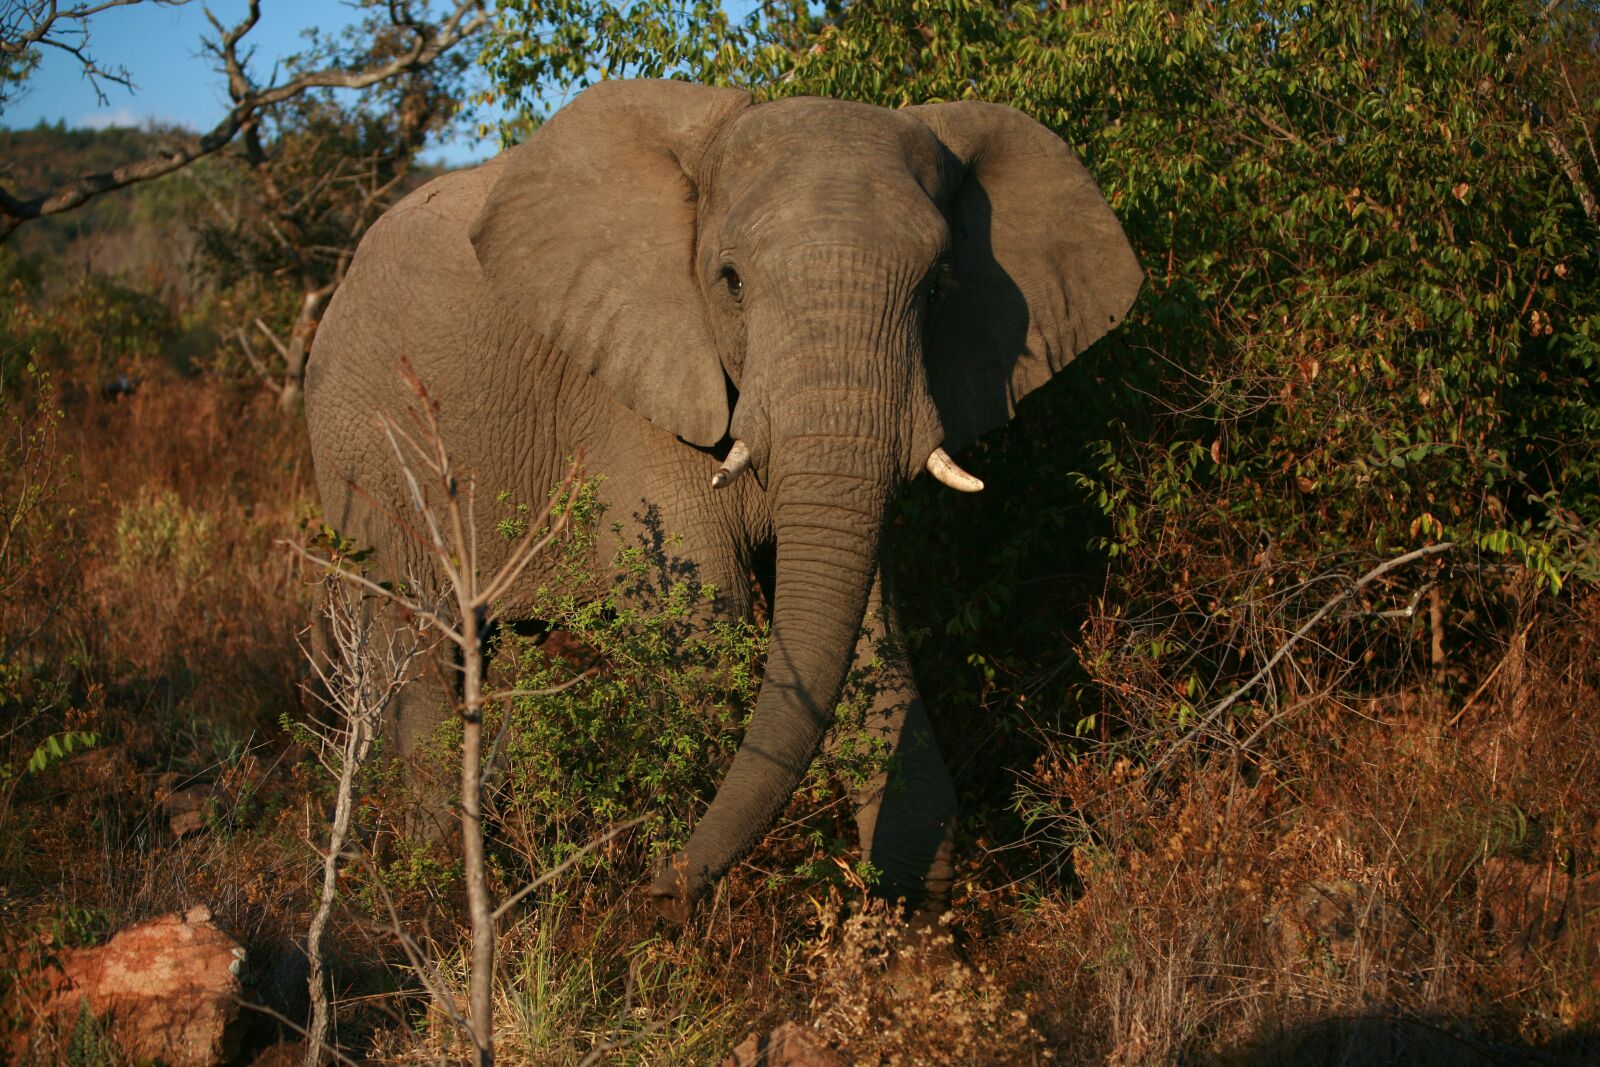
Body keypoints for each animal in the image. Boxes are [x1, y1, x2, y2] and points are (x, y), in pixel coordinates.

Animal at [304, 78, 1141, 924]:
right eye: (731, 280)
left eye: (938, 287)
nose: (656, 889)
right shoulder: (629, 397)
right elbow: (708, 625)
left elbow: (867, 629)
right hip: (368, 451)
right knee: (417, 644)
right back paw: (433, 876)